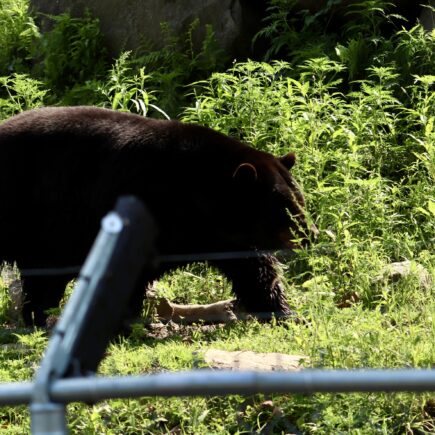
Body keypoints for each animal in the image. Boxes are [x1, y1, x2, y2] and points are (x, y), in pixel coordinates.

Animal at [0, 106, 313, 327]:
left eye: (299, 199)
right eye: (285, 207)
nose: (311, 234)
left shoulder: (225, 235)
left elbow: (254, 269)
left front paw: (284, 313)